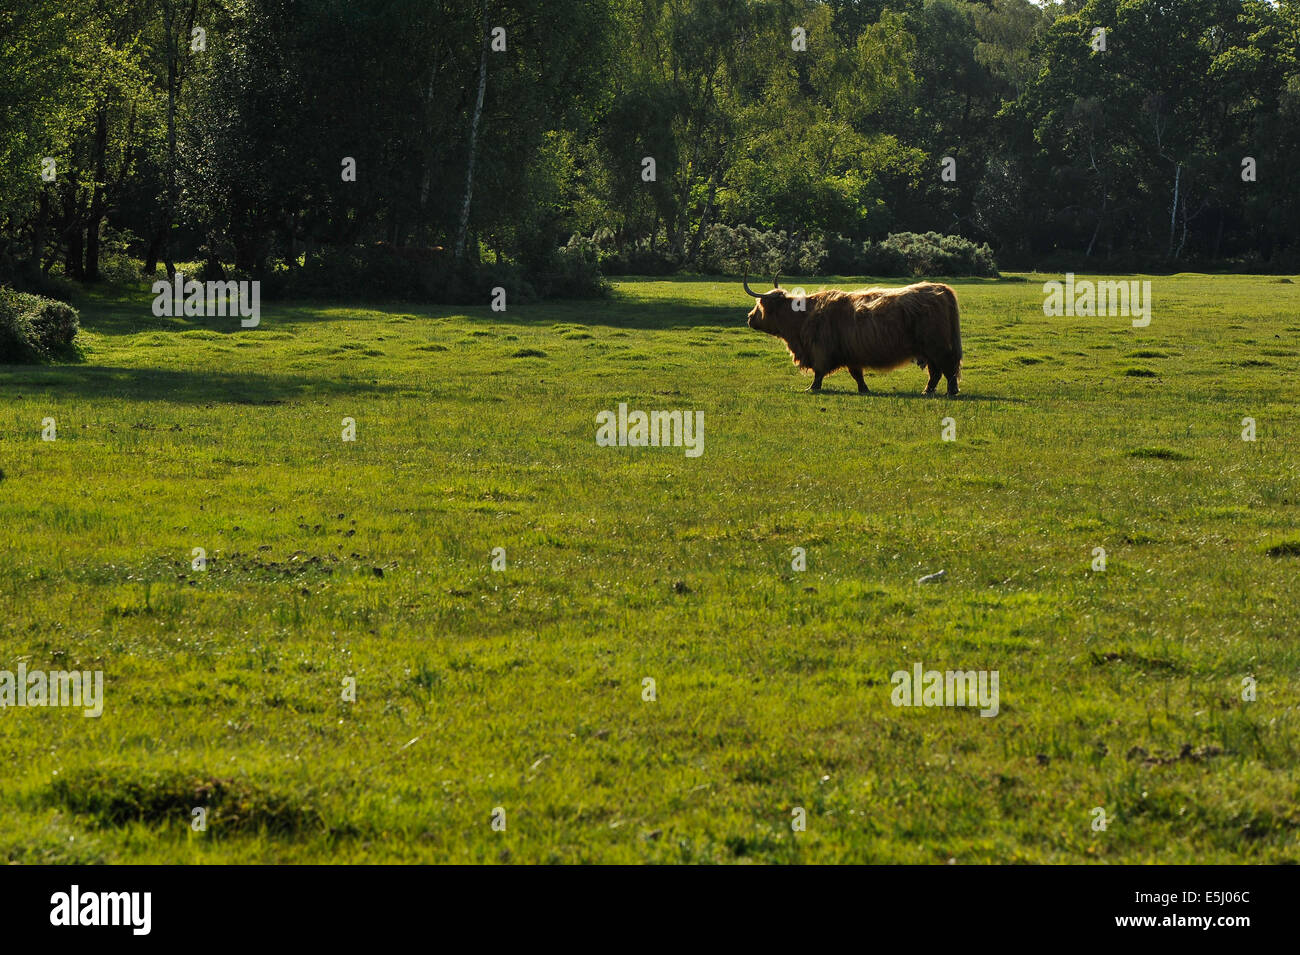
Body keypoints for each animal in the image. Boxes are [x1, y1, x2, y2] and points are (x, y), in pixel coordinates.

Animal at [743, 276, 963, 396]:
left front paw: (812, 388)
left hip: (937, 348)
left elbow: (819, 372)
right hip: (929, 350)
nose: (749, 318)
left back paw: (950, 392)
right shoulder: (851, 353)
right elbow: (857, 374)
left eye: (759, 305)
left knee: (948, 369)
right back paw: (927, 391)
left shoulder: (820, 351)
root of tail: (941, 288)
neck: (802, 317)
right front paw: (864, 389)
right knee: (936, 373)